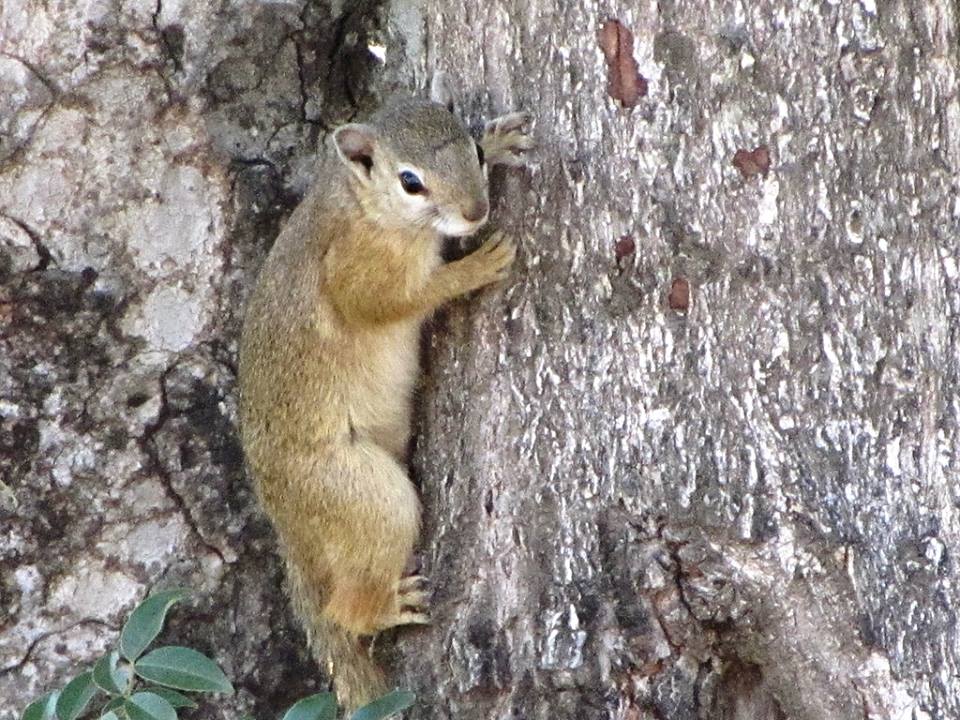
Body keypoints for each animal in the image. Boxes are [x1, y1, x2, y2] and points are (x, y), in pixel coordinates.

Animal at [237, 74, 532, 710]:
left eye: (470, 151)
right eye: (410, 182)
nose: (476, 211)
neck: (359, 203)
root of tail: (289, 526)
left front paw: (502, 141)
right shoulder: (354, 269)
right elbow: (387, 302)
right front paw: (472, 268)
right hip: (361, 496)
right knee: (346, 608)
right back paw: (386, 607)